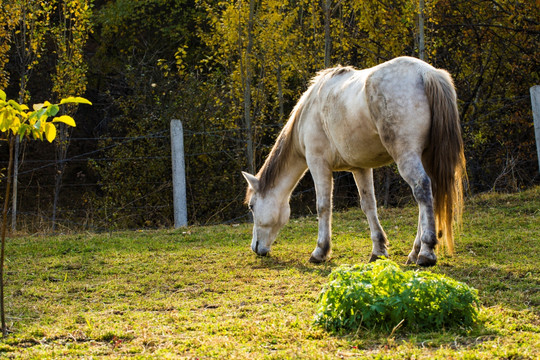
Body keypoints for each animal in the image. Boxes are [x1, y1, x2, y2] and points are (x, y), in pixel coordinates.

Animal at [243, 54, 466, 266]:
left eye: (251, 206)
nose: (255, 248)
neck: (309, 111)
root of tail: (426, 73)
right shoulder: (360, 168)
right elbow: (368, 205)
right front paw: (378, 250)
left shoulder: (318, 164)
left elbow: (323, 206)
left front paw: (320, 251)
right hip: (425, 157)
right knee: (429, 193)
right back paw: (414, 252)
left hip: (407, 156)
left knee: (422, 189)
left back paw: (426, 252)